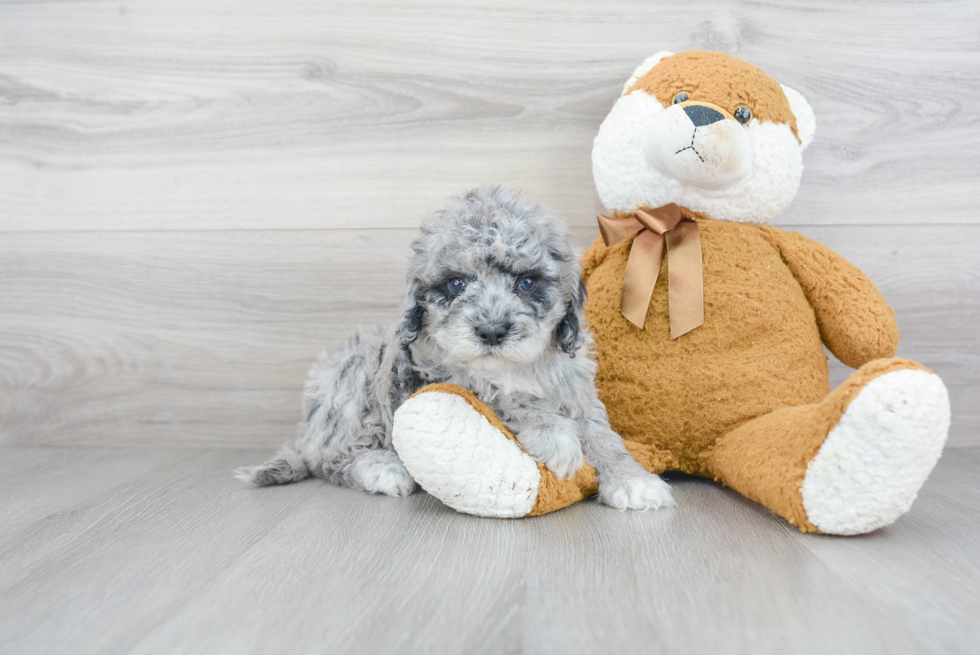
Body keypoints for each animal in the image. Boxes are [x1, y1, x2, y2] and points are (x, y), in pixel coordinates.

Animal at [241, 186, 676, 512]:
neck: (514, 366)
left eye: (527, 283)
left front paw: (632, 480)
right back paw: (384, 470)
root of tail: (306, 432)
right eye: (456, 284)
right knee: (334, 460)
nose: (492, 331)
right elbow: (512, 399)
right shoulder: (448, 375)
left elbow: (603, 436)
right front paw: (557, 438)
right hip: (353, 375)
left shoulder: (577, 389)